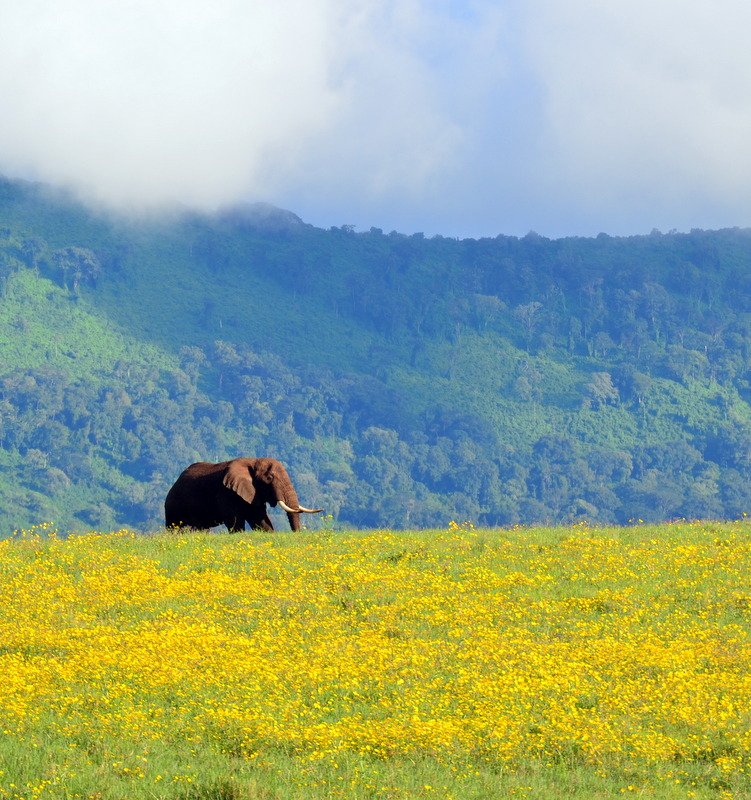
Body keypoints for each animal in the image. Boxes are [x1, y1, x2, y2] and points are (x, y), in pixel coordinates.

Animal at [164, 457, 322, 532]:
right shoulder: (226, 493)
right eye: (269, 478)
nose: (297, 533)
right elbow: (235, 522)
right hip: (173, 506)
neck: (254, 461)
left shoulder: (254, 493)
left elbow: (260, 520)